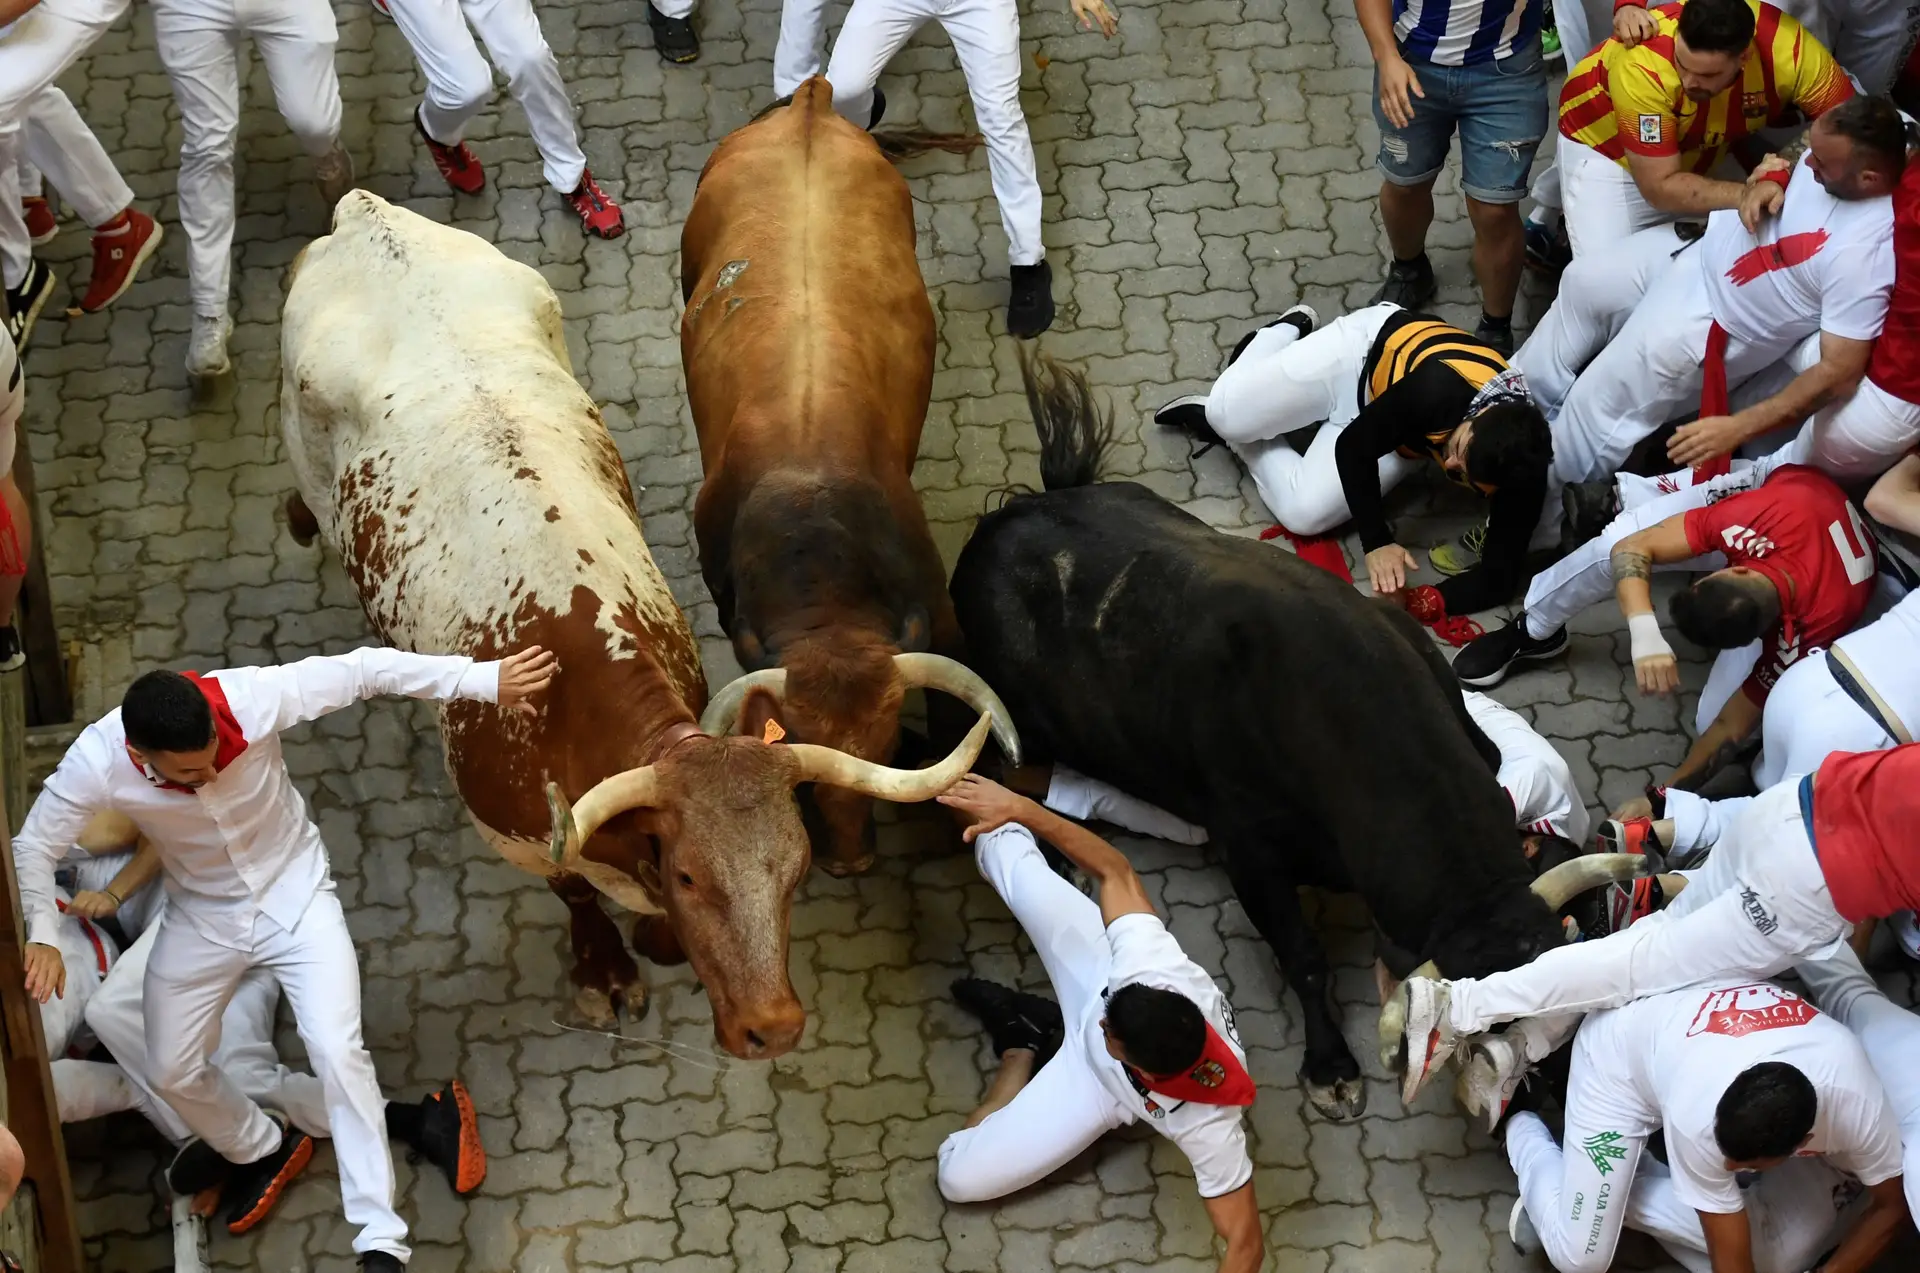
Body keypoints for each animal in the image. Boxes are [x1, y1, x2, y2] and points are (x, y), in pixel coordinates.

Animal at [280, 193, 990, 1059]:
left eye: (793, 867)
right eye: (691, 875)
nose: (774, 1027)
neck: (571, 678)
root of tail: (366, 213)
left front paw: (659, 942)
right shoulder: (521, 837)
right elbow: (574, 892)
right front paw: (606, 968)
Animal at [948, 353, 1635, 1121]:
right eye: (1484, 1028)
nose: (1553, 1089)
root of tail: (1009, 516)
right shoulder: (1249, 849)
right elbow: (1302, 954)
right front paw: (1331, 1067)